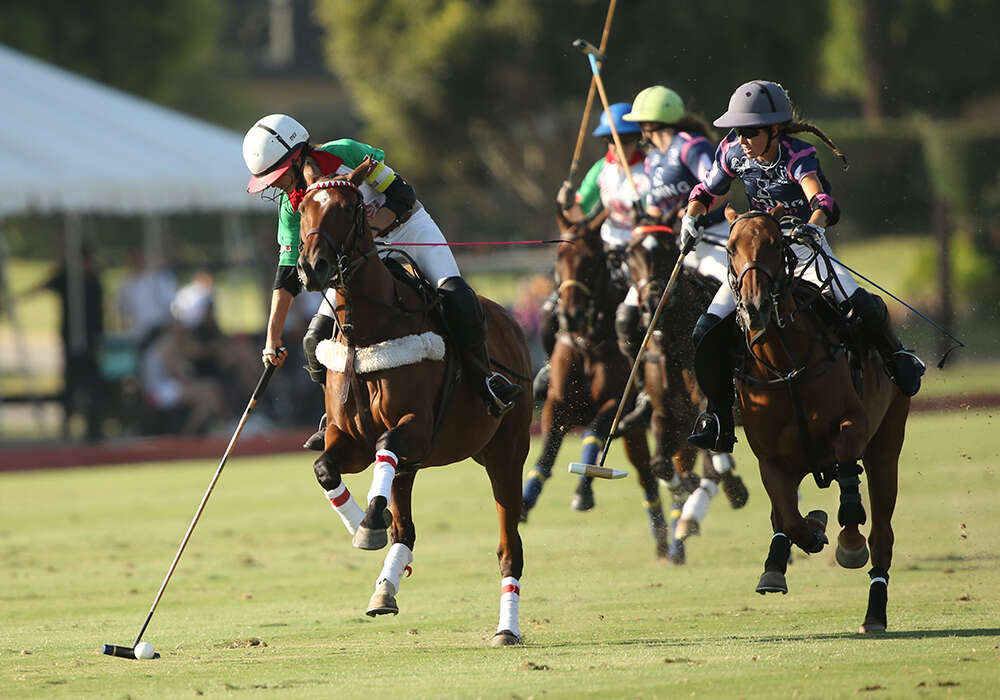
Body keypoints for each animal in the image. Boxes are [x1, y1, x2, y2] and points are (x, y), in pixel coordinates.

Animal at [294, 163, 536, 644]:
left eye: (348, 208)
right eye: (303, 207)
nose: (312, 266)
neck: (366, 333)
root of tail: (512, 322)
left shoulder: (417, 427)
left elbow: (386, 444)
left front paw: (368, 523)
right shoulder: (349, 439)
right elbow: (325, 467)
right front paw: (362, 524)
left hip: (506, 454)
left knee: (509, 548)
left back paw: (507, 629)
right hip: (421, 464)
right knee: (404, 527)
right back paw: (384, 588)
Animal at [516, 206, 672, 556]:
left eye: (591, 261)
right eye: (559, 256)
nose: (569, 317)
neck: (589, 339)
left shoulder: (616, 402)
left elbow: (595, 431)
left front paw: (583, 492)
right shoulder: (557, 403)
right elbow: (547, 451)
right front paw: (525, 502)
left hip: (633, 427)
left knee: (646, 474)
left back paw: (664, 541)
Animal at [624, 224, 752, 564]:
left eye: (666, 249)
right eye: (630, 256)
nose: (652, 301)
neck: (675, 342)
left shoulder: (710, 410)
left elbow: (712, 464)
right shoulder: (665, 415)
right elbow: (660, 464)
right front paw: (686, 488)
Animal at [724, 204, 912, 636]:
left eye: (776, 244)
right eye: (730, 246)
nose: (755, 306)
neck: (786, 366)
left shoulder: (853, 424)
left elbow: (847, 476)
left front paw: (847, 539)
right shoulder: (771, 459)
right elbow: (790, 519)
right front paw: (810, 533)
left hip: (887, 446)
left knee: (882, 535)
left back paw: (874, 612)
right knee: (784, 515)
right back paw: (780, 561)